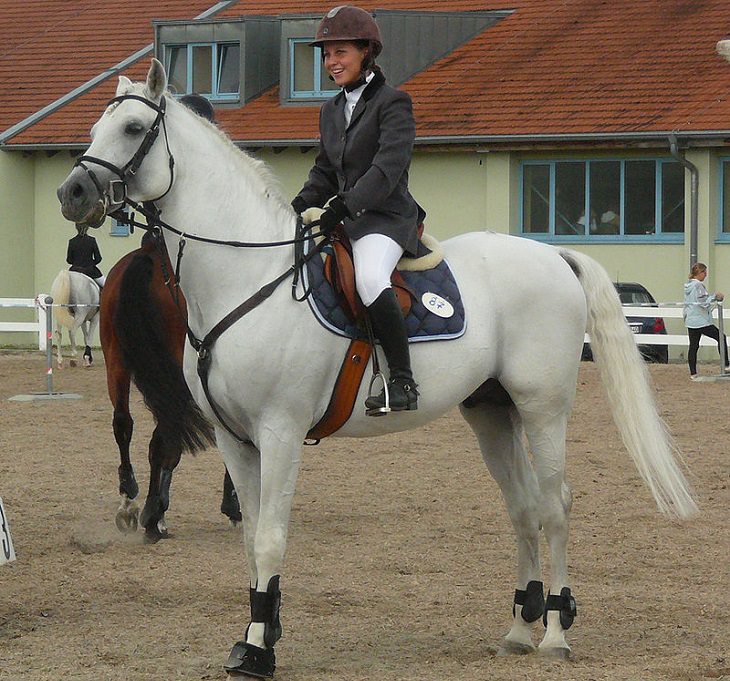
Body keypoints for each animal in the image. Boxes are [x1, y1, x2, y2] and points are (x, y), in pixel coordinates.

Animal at [99, 234, 240, 540]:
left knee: (124, 424)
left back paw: (130, 500)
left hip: (115, 359)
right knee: (165, 435)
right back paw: (154, 513)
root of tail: (151, 254)